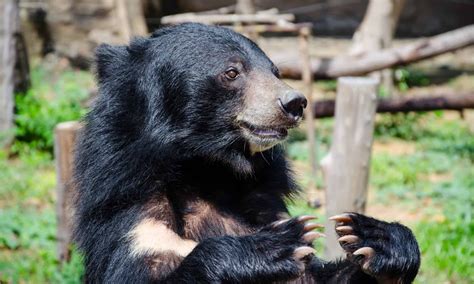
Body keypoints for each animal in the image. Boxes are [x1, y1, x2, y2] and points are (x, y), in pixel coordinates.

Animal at [73, 23, 418, 282]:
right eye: (232, 72)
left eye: (275, 71)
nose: (295, 103)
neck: (208, 171)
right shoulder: (136, 219)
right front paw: (275, 244)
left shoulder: (265, 203)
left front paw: (373, 237)